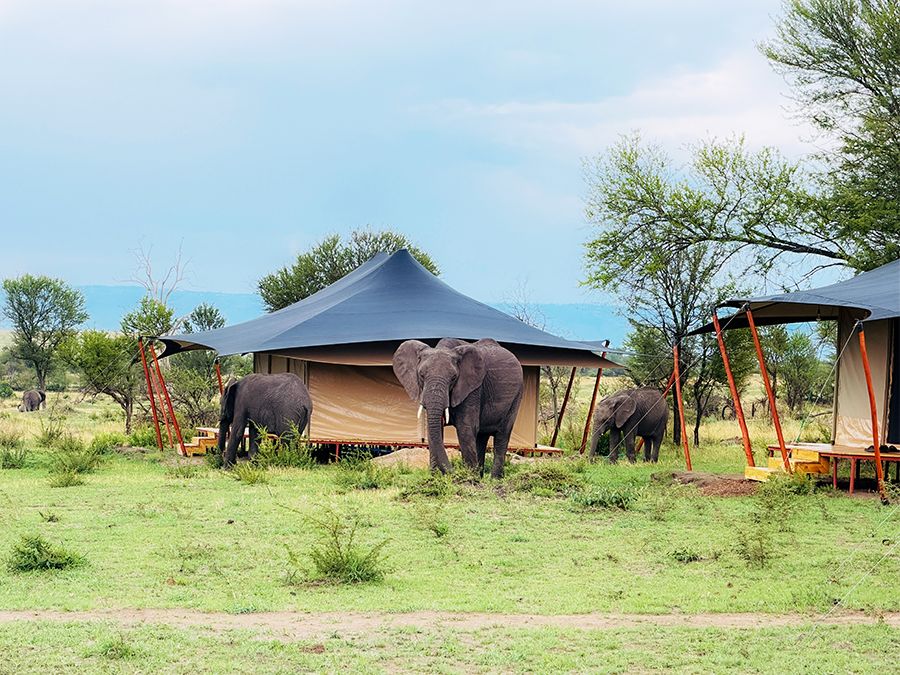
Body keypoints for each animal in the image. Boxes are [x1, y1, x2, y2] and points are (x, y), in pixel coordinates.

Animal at [392, 337, 523, 478]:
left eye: (453, 378)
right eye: (421, 375)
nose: (455, 473)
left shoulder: (472, 389)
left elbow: (465, 428)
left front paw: (469, 478)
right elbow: (436, 429)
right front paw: (434, 478)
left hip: (517, 396)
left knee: (502, 436)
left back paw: (494, 479)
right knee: (481, 437)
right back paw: (480, 475)